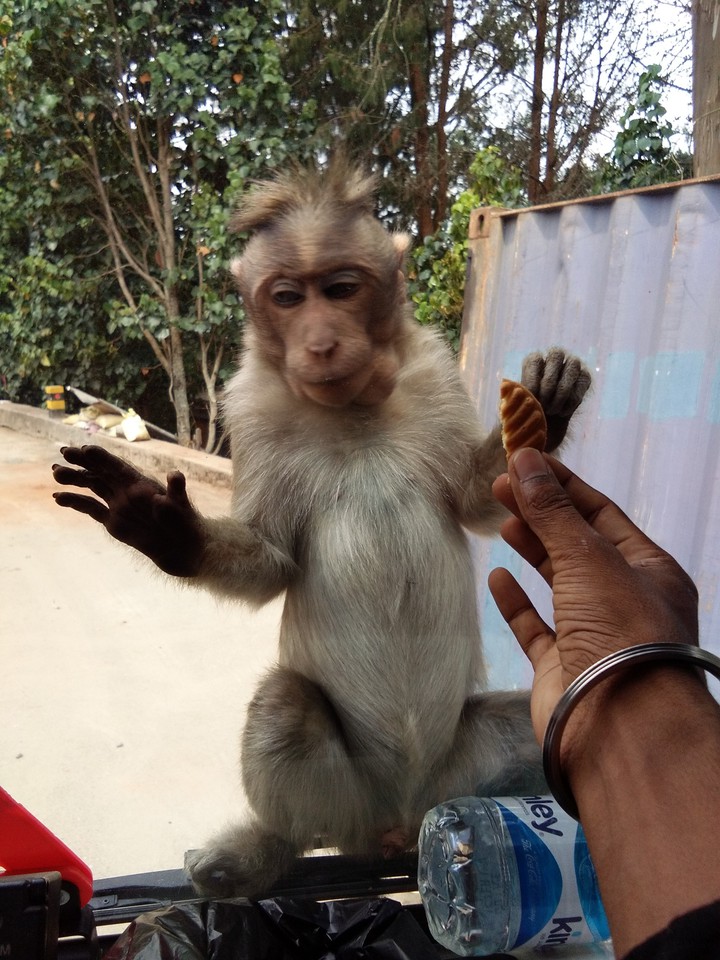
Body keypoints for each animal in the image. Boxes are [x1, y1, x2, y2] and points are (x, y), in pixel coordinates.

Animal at [52, 159, 591, 899]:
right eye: (287, 297)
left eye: (339, 289)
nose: (321, 340)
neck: (353, 410)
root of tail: (400, 821)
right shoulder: (249, 405)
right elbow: (272, 559)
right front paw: (163, 528)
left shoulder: (431, 370)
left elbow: (474, 499)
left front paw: (547, 404)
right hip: (349, 800)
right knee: (285, 714)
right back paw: (269, 850)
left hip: (457, 767)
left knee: (541, 725)